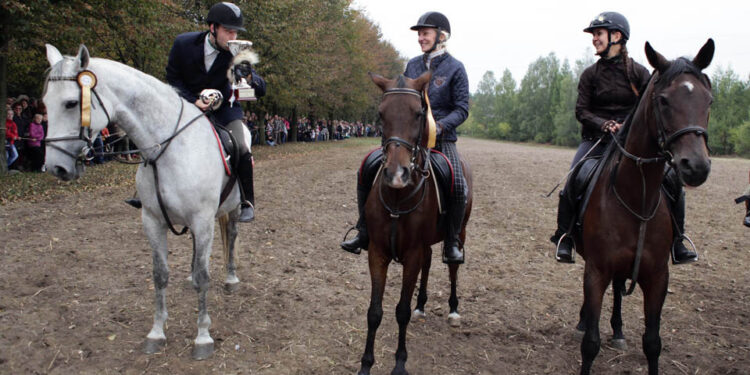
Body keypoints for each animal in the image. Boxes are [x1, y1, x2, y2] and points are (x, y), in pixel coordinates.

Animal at [43, 44, 250, 362]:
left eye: (70, 103)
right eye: (44, 103)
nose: (56, 167)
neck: (168, 148)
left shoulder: (202, 221)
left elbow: (203, 278)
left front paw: (202, 337)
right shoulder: (152, 221)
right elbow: (159, 275)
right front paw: (156, 333)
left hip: (233, 210)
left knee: (233, 236)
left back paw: (231, 279)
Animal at [360, 71, 476, 375]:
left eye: (418, 113)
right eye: (381, 113)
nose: (396, 174)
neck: (397, 198)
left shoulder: (411, 254)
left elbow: (400, 311)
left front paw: (400, 363)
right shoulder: (377, 252)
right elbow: (374, 311)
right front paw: (365, 364)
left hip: (460, 231)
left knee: (453, 268)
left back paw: (453, 309)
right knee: (429, 262)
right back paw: (421, 305)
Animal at [580, 39, 712, 374]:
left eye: (709, 100)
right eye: (663, 101)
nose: (696, 166)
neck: (635, 197)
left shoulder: (657, 277)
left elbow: (653, 343)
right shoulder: (596, 270)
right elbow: (590, 343)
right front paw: (587, 327)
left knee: (617, 290)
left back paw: (617, 331)